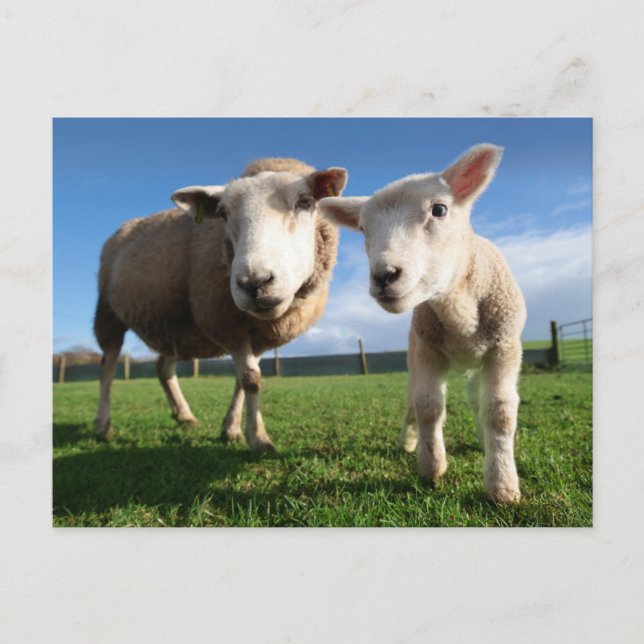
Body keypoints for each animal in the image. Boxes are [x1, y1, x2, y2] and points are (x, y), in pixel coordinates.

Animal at [94, 158, 348, 452]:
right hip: (108, 312)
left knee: (163, 367)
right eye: (223, 214)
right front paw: (259, 439)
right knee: (107, 367)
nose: (254, 283)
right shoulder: (228, 324)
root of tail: (125, 226)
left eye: (305, 201)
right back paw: (102, 425)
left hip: (174, 323)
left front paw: (232, 429)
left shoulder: (257, 335)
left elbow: (244, 379)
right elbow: (250, 380)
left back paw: (184, 416)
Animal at [318, 144, 526, 503]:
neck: (458, 310)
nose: (384, 276)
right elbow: (428, 406)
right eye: (363, 229)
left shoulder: (504, 348)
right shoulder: (428, 350)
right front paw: (432, 467)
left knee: (477, 398)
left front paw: (503, 485)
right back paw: (408, 441)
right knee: (413, 400)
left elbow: (499, 412)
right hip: (414, 354)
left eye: (439, 209)